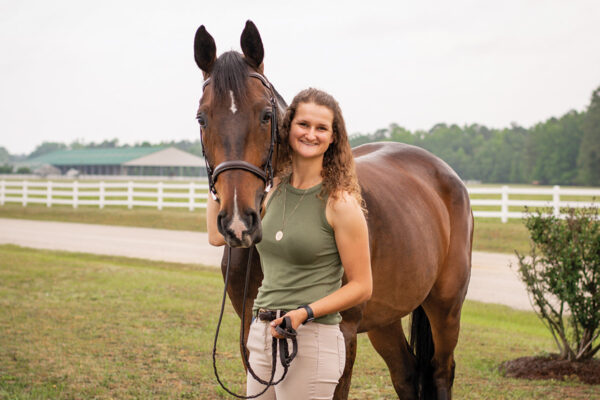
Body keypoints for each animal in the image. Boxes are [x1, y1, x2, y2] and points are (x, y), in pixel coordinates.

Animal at [195, 21, 472, 400]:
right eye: (202, 118)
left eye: (266, 115)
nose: (239, 222)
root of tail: (444, 172)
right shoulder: (250, 333)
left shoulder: (344, 332)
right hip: (386, 318)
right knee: (406, 372)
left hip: (445, 307)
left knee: (441, 371)